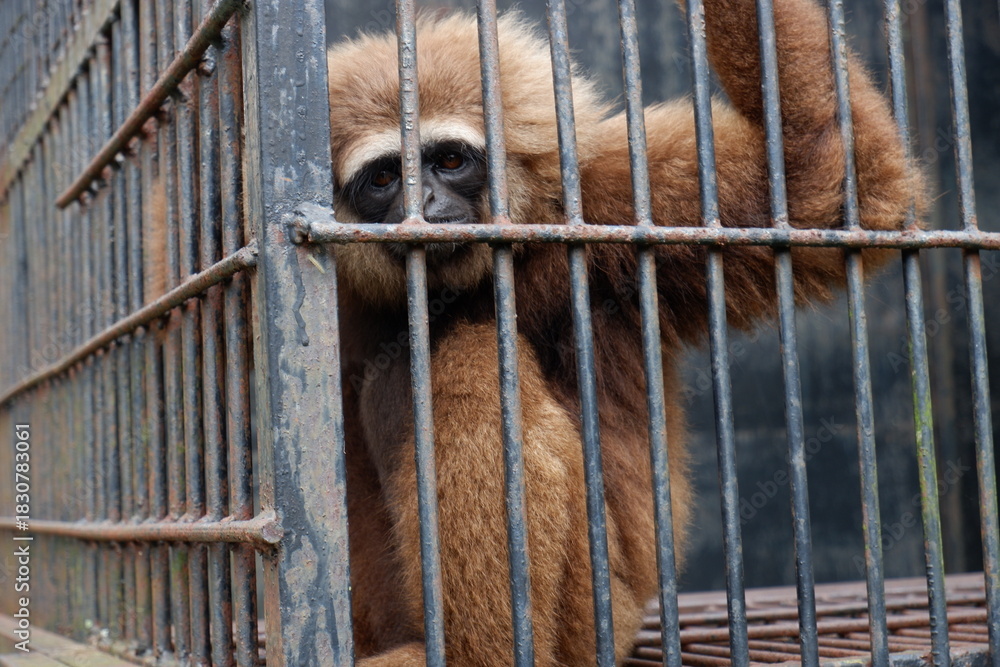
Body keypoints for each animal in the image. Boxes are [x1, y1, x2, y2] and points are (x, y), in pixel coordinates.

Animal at [326, 0, 919, 663]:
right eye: (384, 179)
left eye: (449, 161)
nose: (423, 204)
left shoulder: (609, 201)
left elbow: (825, 191)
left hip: (595, 615)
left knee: (466, 361)